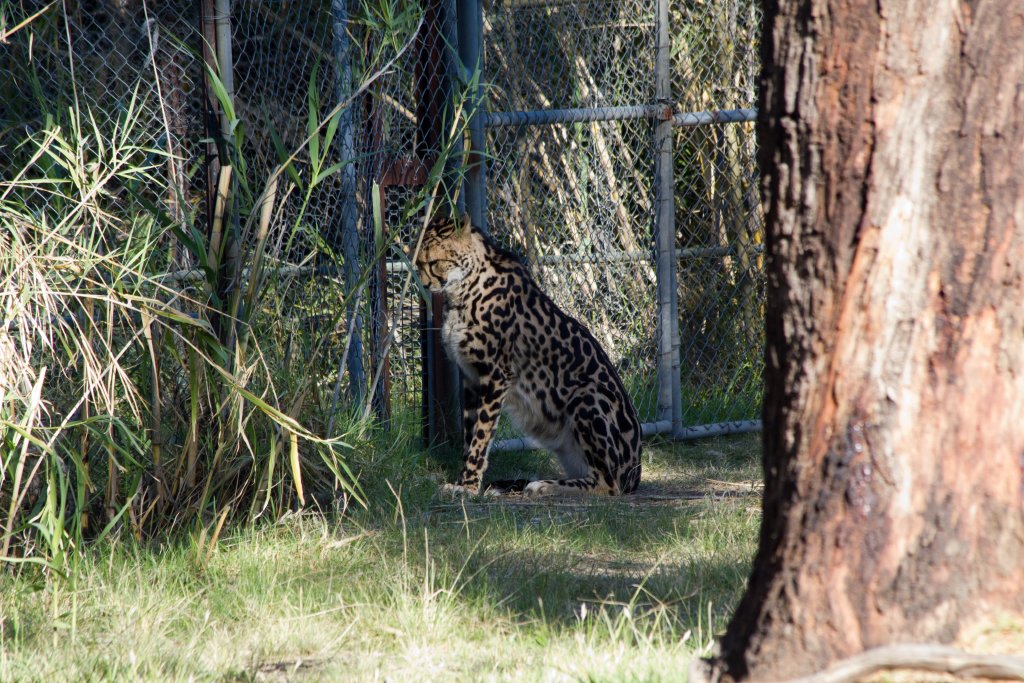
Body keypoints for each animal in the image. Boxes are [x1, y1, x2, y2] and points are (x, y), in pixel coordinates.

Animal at [412, 213, 642, 497]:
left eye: (434, 262)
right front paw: (464, 481)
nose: (423, 285)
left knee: (608, 484)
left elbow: (480, 437)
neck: (465, 286)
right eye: (418, 263)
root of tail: (636, 472)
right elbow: (470, 435)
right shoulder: (471, 378)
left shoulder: (496, 376)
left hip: (587, 395)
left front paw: (468, 486)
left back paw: (544, 485)